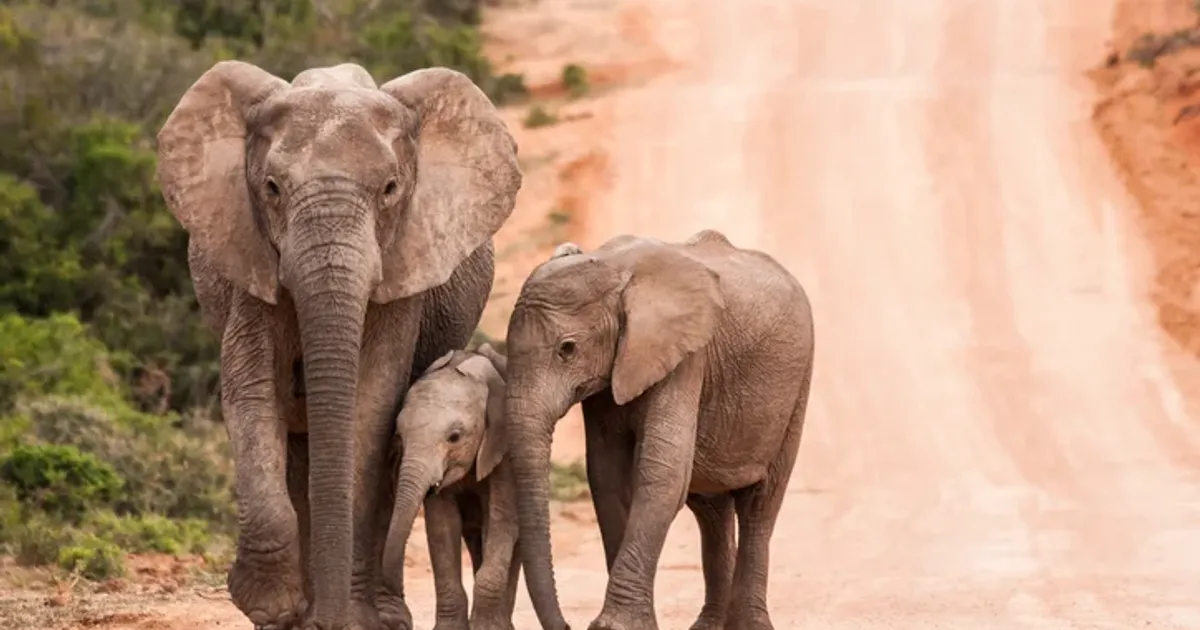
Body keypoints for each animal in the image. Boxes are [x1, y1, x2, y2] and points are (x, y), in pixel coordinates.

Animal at [381, 343, 519, 630]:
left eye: (454, 437)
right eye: (400, 436)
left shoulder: (506, 450)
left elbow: (501, 518)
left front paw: (486, 628)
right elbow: (441, 525)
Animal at [503, 231, 815, 630]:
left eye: (567, 349)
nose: (568, 625)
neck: (613, 268)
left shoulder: (687, 358)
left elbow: (661, 473)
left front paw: (613, 626)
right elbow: (606, 476)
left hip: (797, 388)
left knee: (760, 506)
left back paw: (750, 625)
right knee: (711, 511)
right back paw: (709, 626)